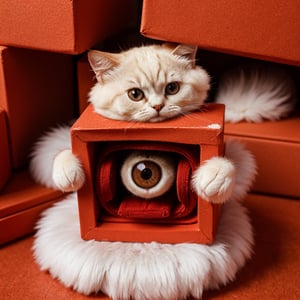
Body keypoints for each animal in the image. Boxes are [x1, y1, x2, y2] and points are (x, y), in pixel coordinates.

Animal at [30, 44, 256, 204]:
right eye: (135, 94)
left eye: (172, 88)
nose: (157, 106)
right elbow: (62, 152)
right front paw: (67, 172)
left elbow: (234, 162)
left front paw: (214, 176)